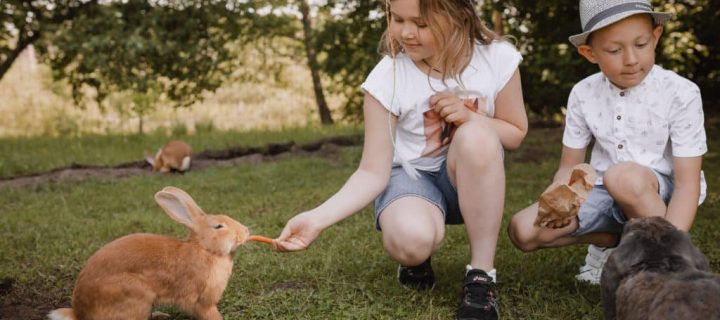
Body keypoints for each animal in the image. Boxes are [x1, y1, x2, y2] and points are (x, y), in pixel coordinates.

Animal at [48, 186, 250, 320]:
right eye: (218, 226)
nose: (245, 231)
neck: (205, 249)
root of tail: (78, 313)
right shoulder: (202, 301)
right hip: (136, 297)